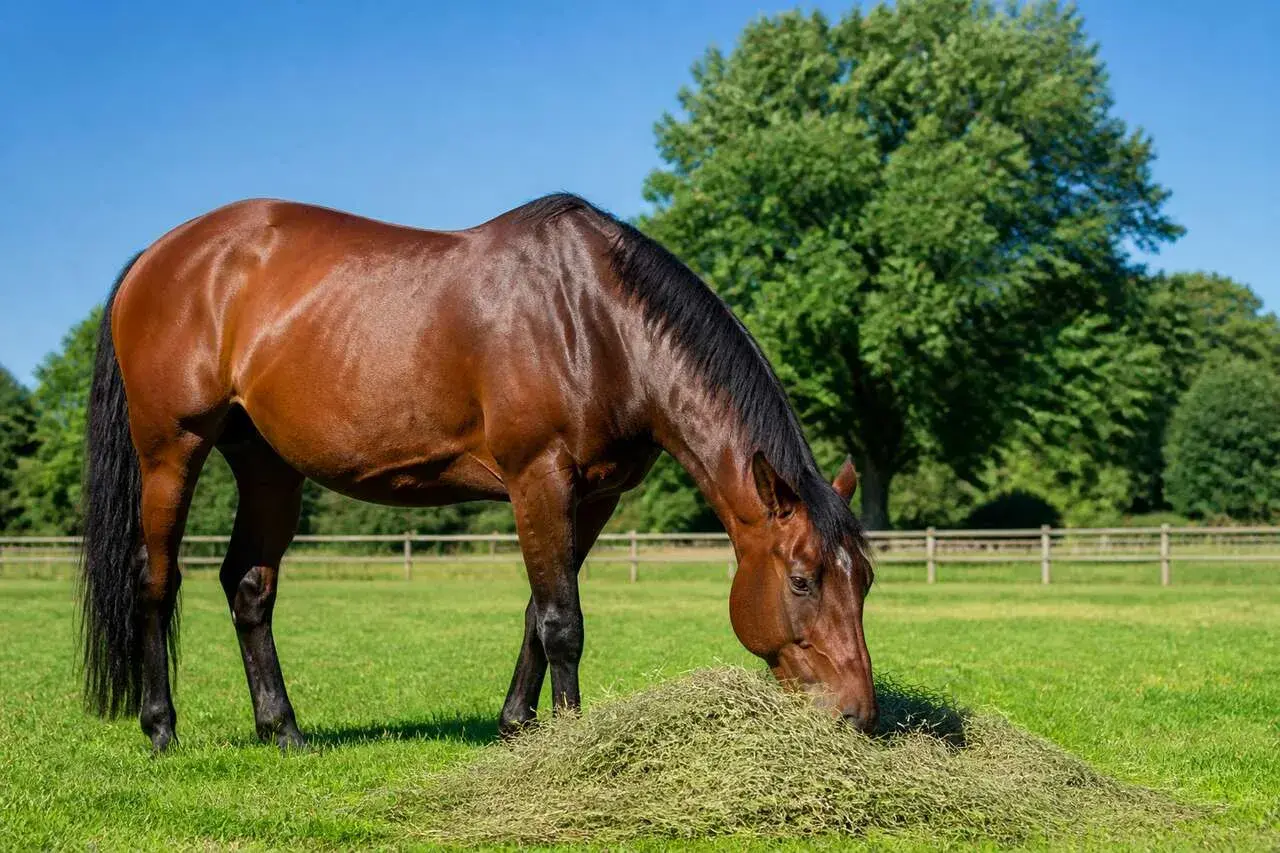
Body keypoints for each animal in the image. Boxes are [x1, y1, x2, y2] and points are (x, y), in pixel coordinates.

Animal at [80, 194, 877, 752]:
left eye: (865, 579)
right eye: (802, 579)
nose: (859, 716)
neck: (595, 321)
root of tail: (158, 254)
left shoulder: (592, 497)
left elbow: (537, 610)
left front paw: (518, 725)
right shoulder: (538, 478)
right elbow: (562, 622)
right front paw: (569, 740)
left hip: (268, 466)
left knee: (248, 586)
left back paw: (284, 730)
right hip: (171, 450)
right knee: (156, 580)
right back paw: (161, 727)